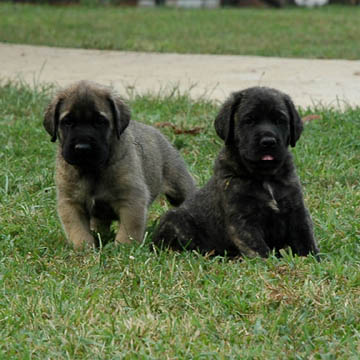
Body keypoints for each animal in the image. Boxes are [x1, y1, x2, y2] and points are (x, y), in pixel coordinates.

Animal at [153, 86, 320, 258]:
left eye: (280, 120)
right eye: (249, 120)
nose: (268, 142)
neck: (265, 177)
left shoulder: (296, 211)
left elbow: (305, 238)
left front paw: (313, 259)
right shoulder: (243, 219)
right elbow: (257, 247)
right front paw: (269, 261)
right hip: (175, 220)